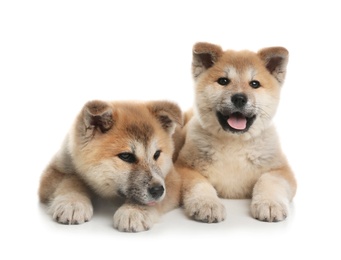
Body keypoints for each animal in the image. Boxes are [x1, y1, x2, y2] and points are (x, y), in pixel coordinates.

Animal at [38, 99, 182, 232]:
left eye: (157, 154)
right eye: (126, 156)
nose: (158, 190)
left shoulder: (172, 179)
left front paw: (134, 211)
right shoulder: (53, 172)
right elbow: (73, 179)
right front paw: (72, 202)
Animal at [175, 41, 294, 222]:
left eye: (254, 84)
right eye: (223, 81)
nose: (239, 98)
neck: (234, 144)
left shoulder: (281, 170)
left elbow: (269, 180)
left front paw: (270, 203)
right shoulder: (183, 168)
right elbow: (199, 184)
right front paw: (208, 203)